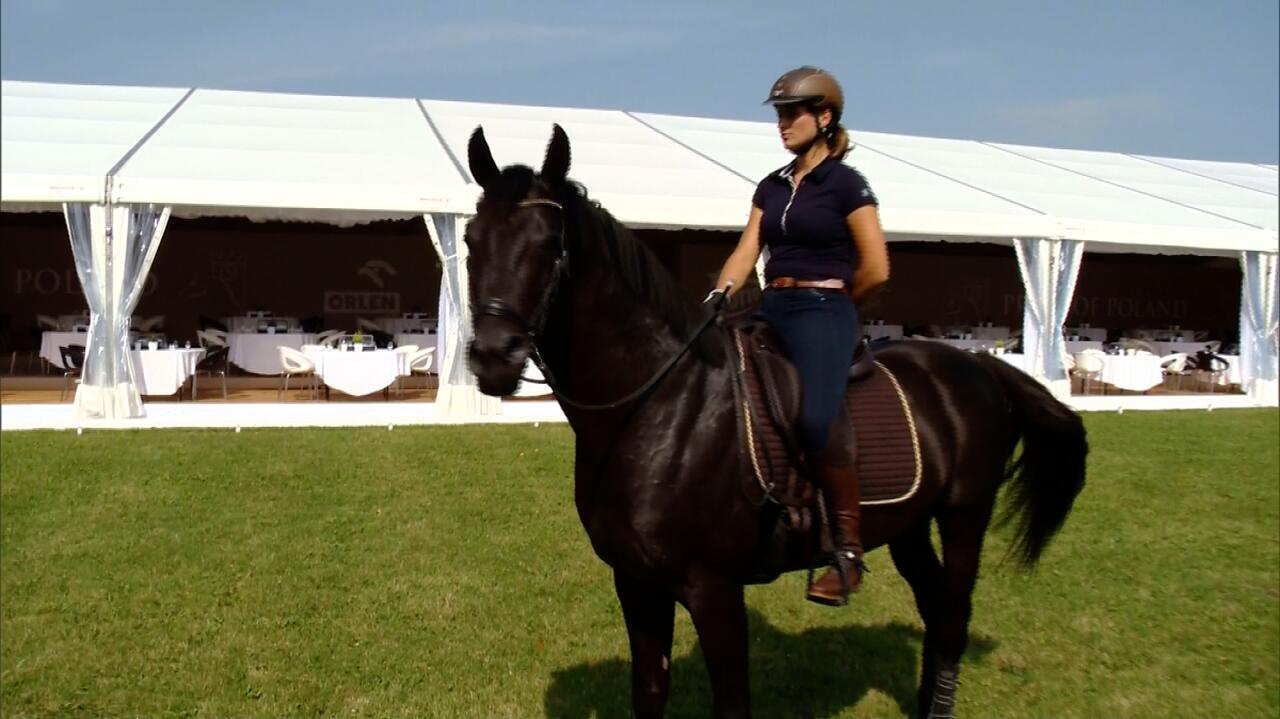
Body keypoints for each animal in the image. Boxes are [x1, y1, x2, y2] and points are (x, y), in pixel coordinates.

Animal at [465, 126, 1085, 711]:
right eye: (470, 240)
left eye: (549, 243)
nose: (493, 358)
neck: (659, 405)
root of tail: (978, 366)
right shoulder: (636, 581)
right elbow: (649, 692)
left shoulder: (713, 589)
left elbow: (732, 702)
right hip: (909, 525)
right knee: (935, 611)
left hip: (963, 515)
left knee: (952, 619)